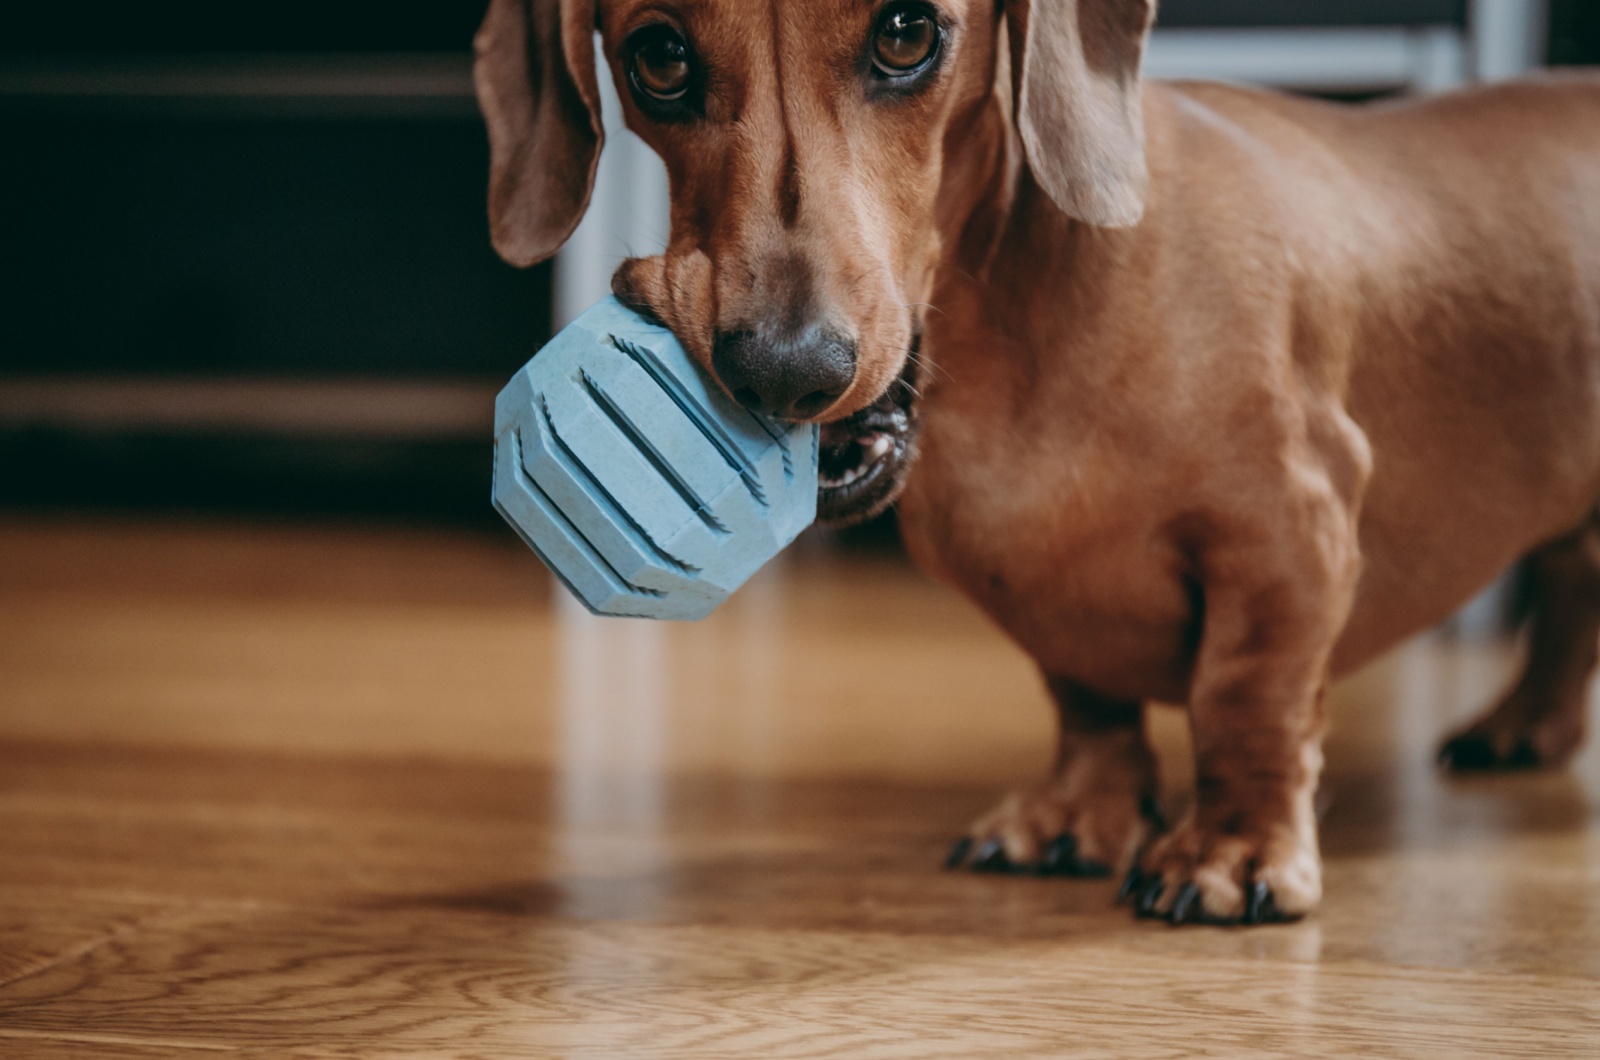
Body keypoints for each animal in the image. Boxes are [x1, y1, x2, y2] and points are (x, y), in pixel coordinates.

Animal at [473, 0, 1600, 928]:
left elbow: (1247, 700)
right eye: (658, 54)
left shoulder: (1290, 537)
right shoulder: (1043, 588)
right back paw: (1522, 727)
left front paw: (1234, 852)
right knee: (1568, 587)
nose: (785, 373)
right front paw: (1076, 816)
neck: (1019, 329)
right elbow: (1087, 701)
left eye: (906, 33)